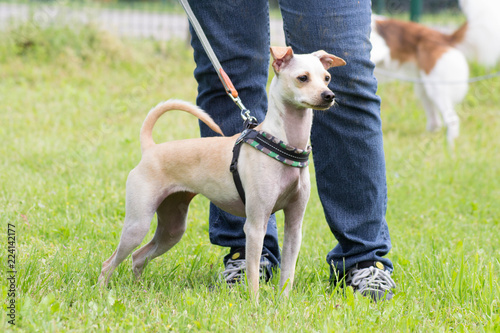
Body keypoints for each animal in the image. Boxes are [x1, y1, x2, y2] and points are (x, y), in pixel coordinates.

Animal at [99, 46, 346, 298]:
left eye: (327, 78)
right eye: (302, 78)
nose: (329, 95)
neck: (283, 144)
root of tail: (150, 148)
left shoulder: (294, 227)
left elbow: (288, 274)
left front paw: (283, 303)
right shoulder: (255, 226)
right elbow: (253, 274)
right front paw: (255, 303)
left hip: (172, 228)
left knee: (138, 257)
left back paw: (139, 290)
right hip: (138, 224)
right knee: (109, 263)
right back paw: (101, 292)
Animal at [372, 0, 500, 146]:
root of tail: (443, 37)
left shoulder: (381, 48)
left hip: (437, 88)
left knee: (452, 120)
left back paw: (449, 148)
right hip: (424, 89)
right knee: (436, 123)